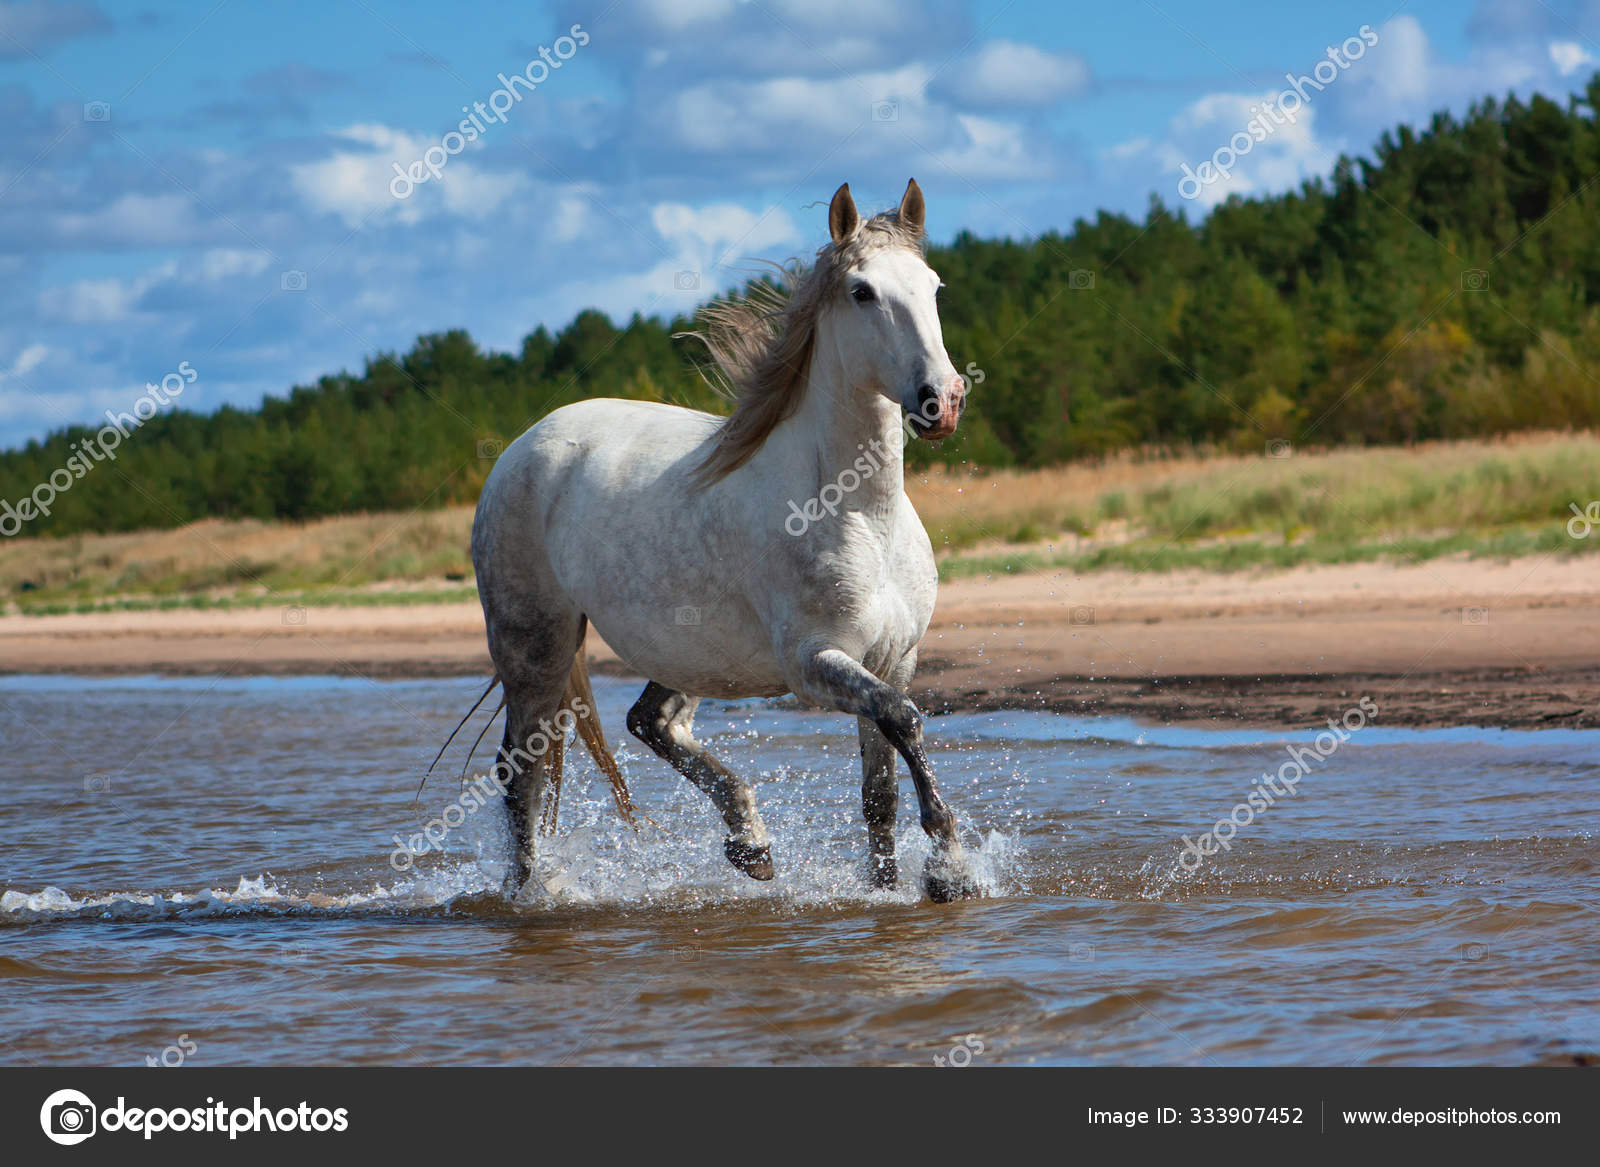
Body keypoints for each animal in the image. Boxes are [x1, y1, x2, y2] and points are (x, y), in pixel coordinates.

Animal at [467, 180, 979, 902]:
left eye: (934, 287)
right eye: (862, 292)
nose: (942, 401)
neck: (859, 514)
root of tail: (520, 449)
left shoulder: (894, 657)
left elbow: (880, 789)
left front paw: (890, 890)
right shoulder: (815, 663)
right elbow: (903, 720)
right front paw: (950, 868)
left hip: (692, 653)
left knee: (649, 722)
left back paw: (751, 844)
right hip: (535, 647)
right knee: (523, 774)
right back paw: (533, 894)